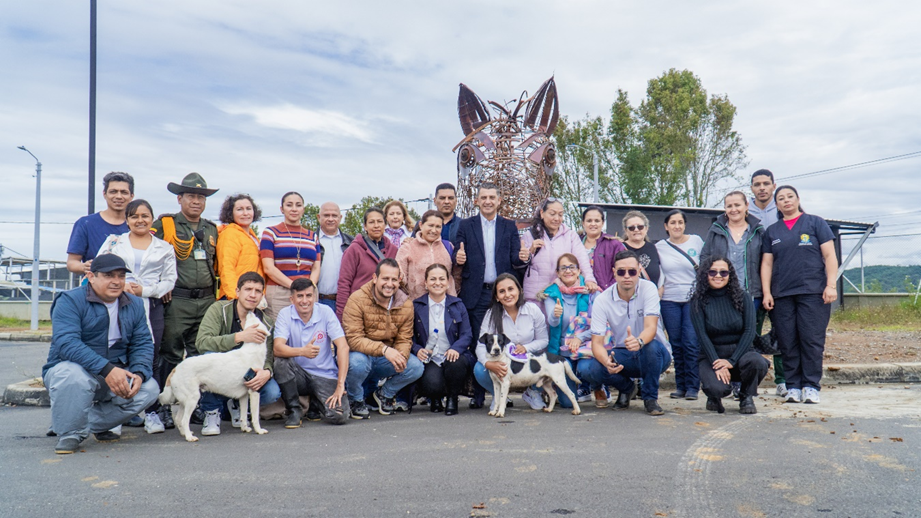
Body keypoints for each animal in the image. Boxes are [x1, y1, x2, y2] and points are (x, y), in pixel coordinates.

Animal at [160, 312, 268, 442]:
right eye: (255, 320)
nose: (250, 312)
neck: (252, 349)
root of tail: (176, 368)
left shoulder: (244, 396)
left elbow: (242, 415)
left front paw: (245, 428)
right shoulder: (254, 392)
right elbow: (255, 417)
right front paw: (259, 430)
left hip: (184, 401)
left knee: (179, 419)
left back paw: (185, 434)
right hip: (193, 399)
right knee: (185, 420)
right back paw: (190, 437)